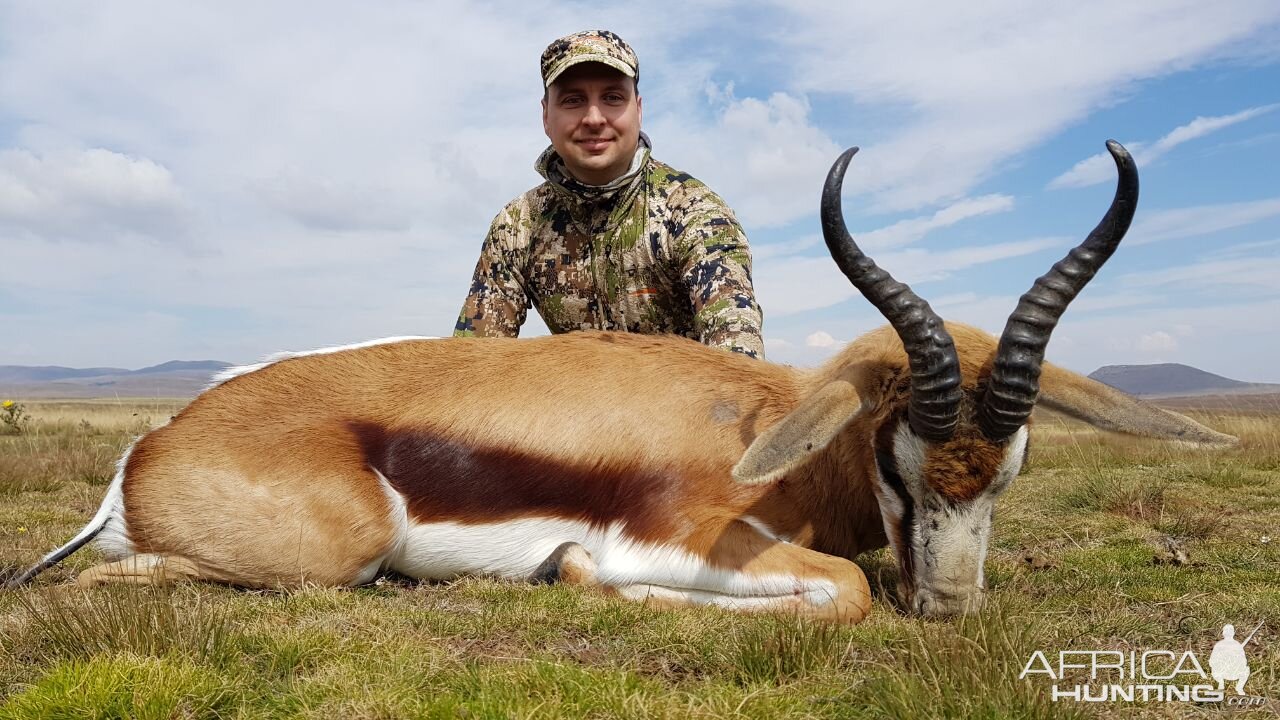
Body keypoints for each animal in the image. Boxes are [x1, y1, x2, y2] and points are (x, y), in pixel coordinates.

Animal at [7, 141, 1228, 622]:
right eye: (904, 459)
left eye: (1009, 469)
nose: (948, 611)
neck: (760, 427)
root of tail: (151, 449)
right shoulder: (682, 537)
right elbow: (839, 588)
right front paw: (575, 574)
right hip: (331, 555)